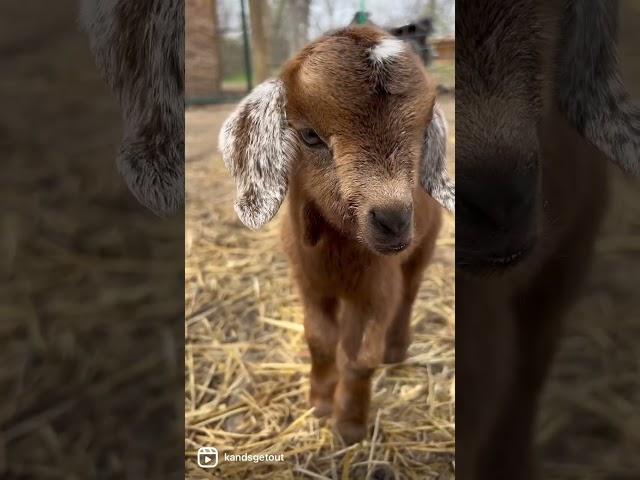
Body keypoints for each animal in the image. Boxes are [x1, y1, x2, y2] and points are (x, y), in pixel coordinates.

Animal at [222, 26, 452, 444]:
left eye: (420, 134)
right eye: (309, 136)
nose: (394, 220)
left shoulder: (378, 288)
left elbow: (360, 359)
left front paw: (350, 427)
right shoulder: (309, 283)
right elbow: (319, 340)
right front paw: (320, 403)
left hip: (423, 248)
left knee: (409, 296)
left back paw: (396, 351)